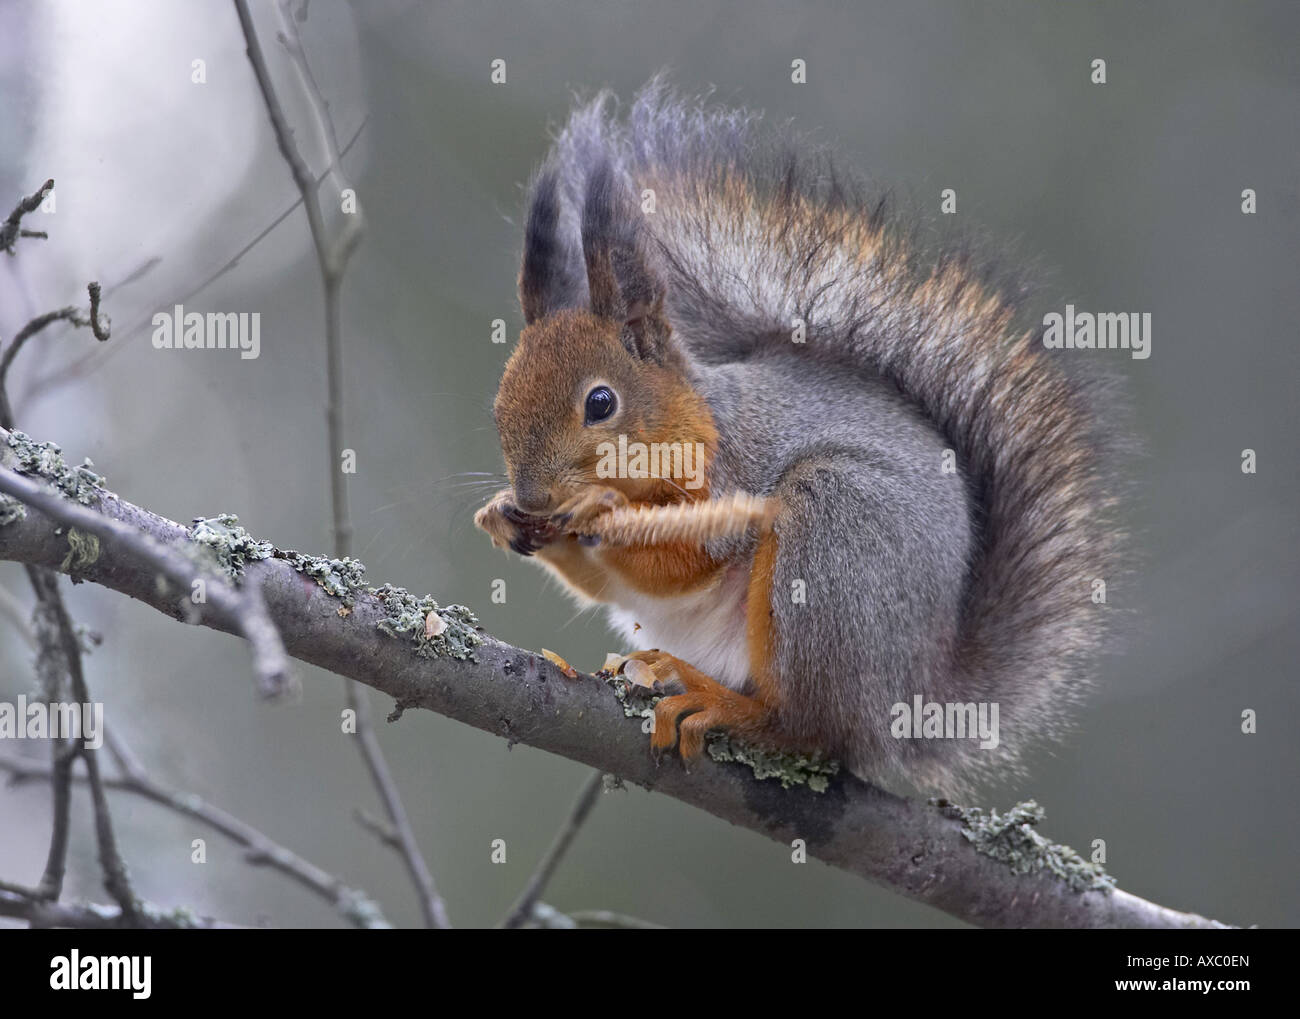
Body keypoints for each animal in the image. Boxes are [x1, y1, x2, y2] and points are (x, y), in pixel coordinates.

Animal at [475, 81, 1118, 795]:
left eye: (600, 402)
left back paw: (721, 705)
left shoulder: (736, 470)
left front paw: (600, 509)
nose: (532, 498)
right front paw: (502, 517)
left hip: (834, 541)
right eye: (499, 404)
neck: (695, 422)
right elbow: (607, 584)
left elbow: (691, 557)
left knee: (810, 729)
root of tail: (908, 703)